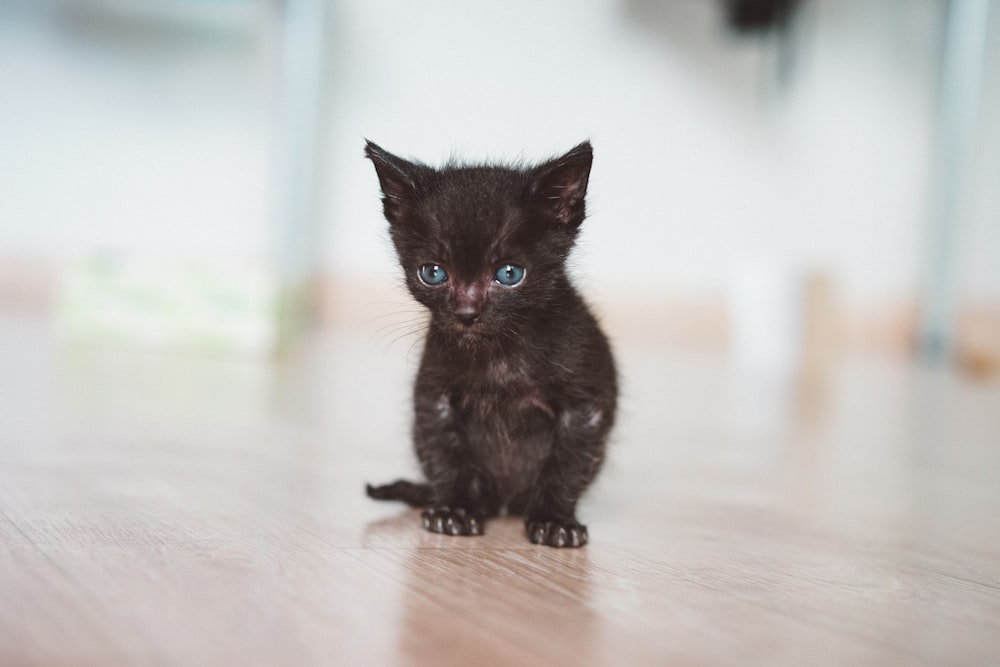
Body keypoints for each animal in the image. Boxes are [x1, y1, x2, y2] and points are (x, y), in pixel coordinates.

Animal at [366, 140, 616, 548]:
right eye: (432, 273)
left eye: (509, 274)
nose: (467, 312)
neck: (499, 357)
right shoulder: (434, 394)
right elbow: (446, 454)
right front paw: (455, 510)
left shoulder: (584, 403)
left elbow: (567, 465)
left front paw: (554, 520)